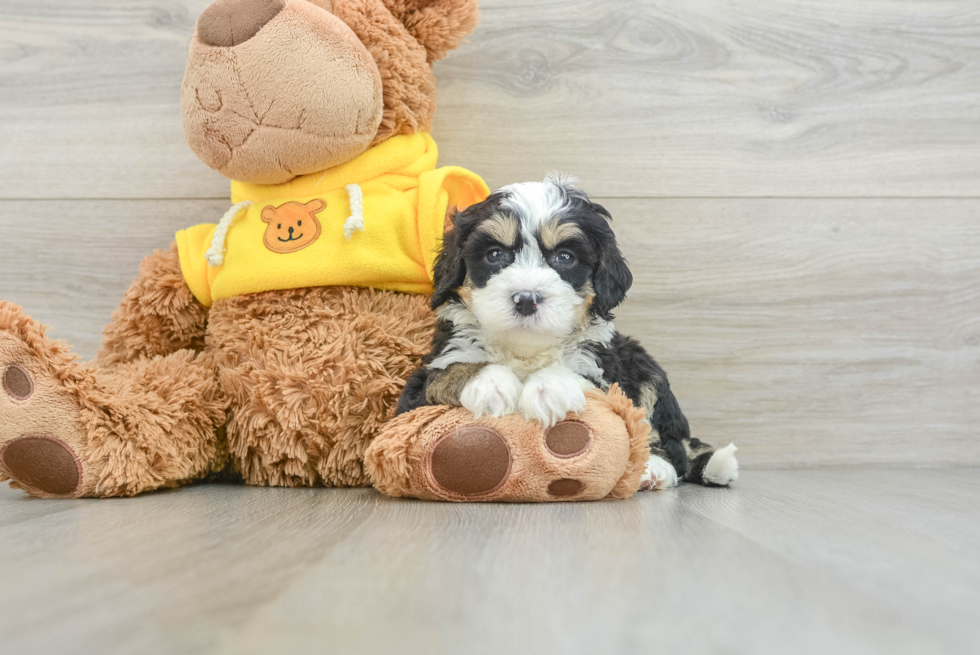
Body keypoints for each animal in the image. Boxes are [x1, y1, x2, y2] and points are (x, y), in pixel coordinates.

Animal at [396, 174, 736, 486]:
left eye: (565, 257)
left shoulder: (603, 369)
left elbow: (580, 376)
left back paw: (653, 469)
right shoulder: (419, 386)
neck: (525, 350)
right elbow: (449, 369)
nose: (526, 298)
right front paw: (490, 382)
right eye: (494, 254)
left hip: (644, 368)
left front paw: (548, 390)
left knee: (668, 442)